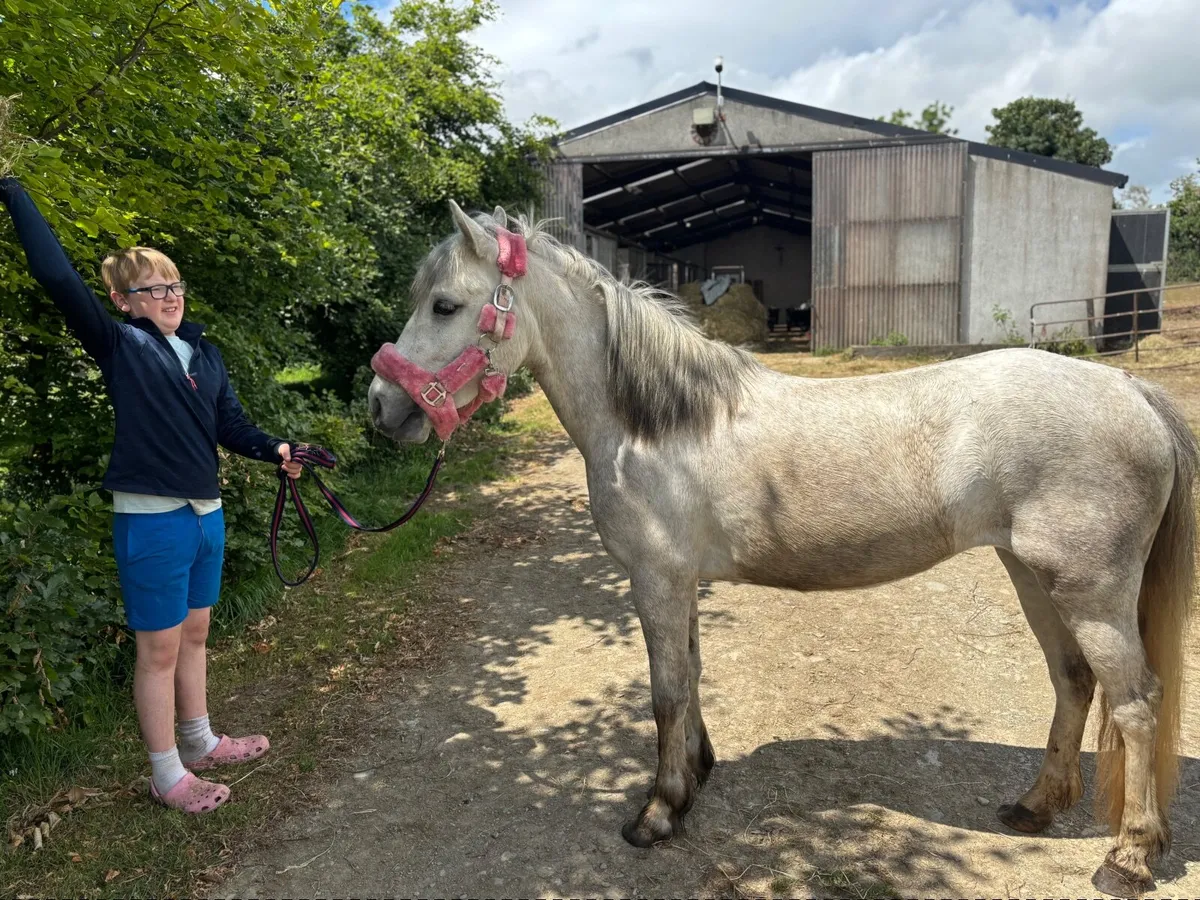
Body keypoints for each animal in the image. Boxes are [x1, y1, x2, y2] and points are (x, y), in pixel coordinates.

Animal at [365, 200, 1197, 897]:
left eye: (445, 305)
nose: (381, 406)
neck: (652, 425)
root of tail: (1132, 391)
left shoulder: (656, 579)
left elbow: (666, 692)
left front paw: (658, 813)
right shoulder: (678, 583)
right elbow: (691, 675)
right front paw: (696, 775)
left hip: (1091, 592)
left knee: (1136, 703)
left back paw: (1127, 857)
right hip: (1031, 574)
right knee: (1073, 682)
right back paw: (1036, 806)